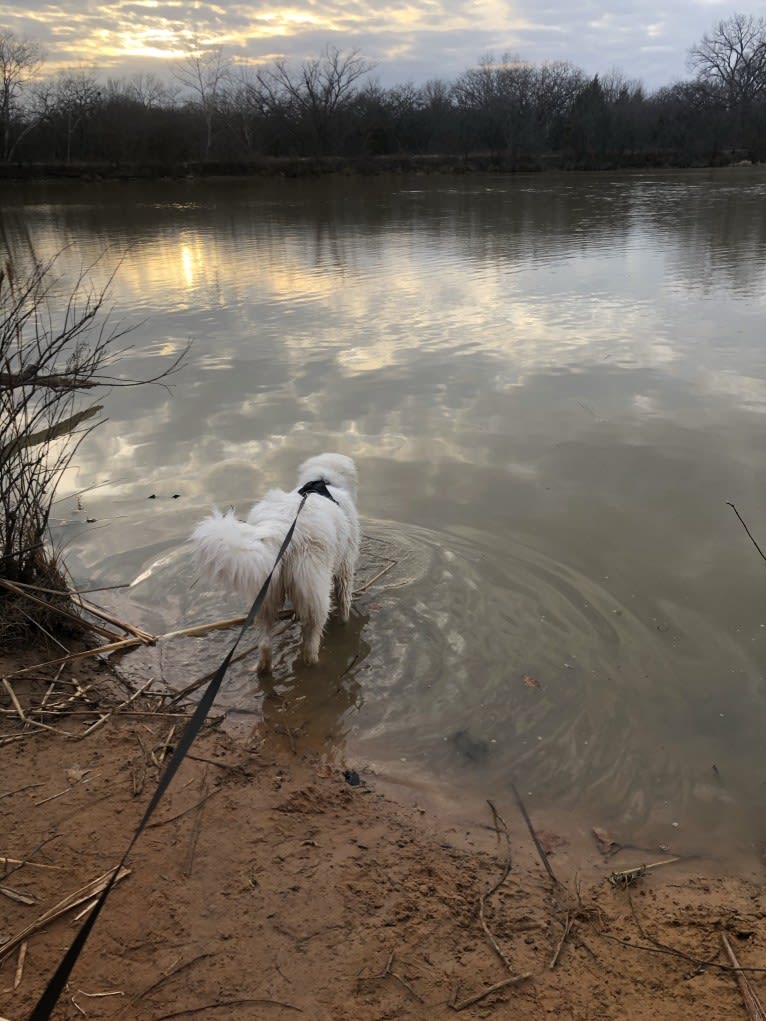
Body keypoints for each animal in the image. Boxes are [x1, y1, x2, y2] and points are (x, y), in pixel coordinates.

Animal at [192, 453, 359, 673]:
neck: (322, 482)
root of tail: (281, 530)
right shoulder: (346, 564)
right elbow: (344, 599)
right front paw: (345, 621)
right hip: (315, 592)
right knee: (311, 641)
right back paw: (315, 662)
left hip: (265, 596)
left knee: (264, 643)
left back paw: (262, 668)